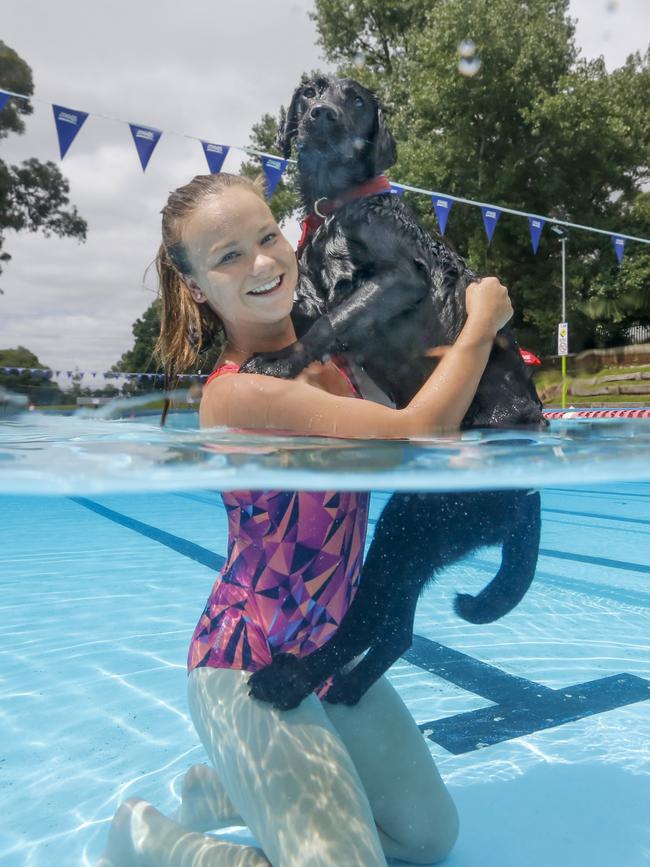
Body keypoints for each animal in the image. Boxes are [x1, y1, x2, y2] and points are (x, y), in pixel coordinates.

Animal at [246, 78, 544, 708]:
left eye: (356, 100)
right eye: (309, 92)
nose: (321, 115)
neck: (338, 207)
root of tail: (529, 493)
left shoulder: (397, 278)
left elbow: (330, 321)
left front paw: (279, 364)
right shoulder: (309, 291)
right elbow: (303, 310)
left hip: (415, 525)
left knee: (373, 621)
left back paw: (292, 678)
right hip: (415, 530)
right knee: (393, 629)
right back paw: (342, 686)